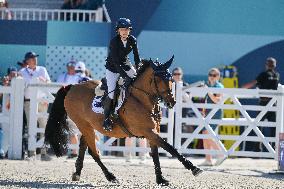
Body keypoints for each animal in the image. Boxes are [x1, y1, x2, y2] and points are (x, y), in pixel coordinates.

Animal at [44, 56, 202, 186]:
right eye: (158, 79)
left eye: (170, 79)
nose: (171, 102)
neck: (142, 99)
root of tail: (72, 87)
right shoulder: (148, 131)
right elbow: (170, 148)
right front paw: (194, 168)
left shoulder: (153, 131)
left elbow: (156, 154)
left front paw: (160, 179)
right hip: (83, 124)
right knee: (93, 151)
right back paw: (110, 176)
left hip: (88, 126)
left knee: (84, 146)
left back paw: (77, 173)